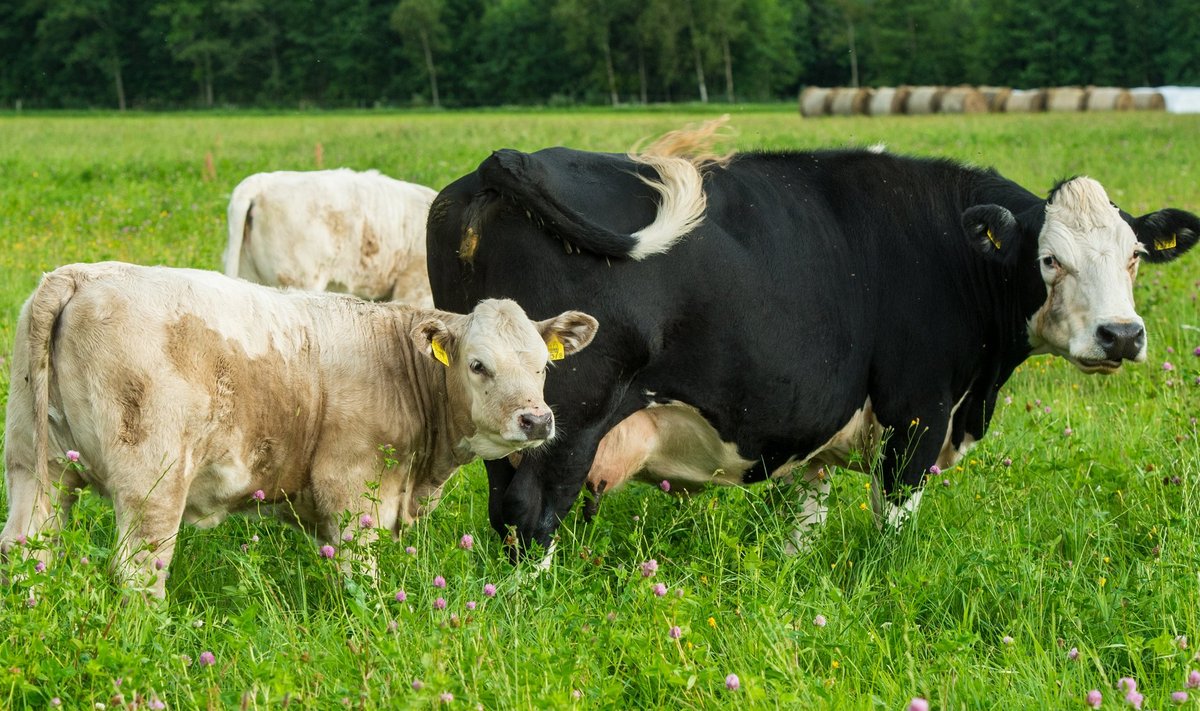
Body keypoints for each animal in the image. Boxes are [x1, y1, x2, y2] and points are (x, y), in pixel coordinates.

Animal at [429, 129, 1200, 562]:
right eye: (1049, 260)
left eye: (1135, 255)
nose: (1121, 334)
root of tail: (508, 158)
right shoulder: (918, 413)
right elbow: (893, 525)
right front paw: (887, 581)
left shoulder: (812, 422)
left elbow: (806, 516)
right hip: (566, 416)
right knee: (531, 514)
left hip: (505, 411)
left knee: (503, 513)